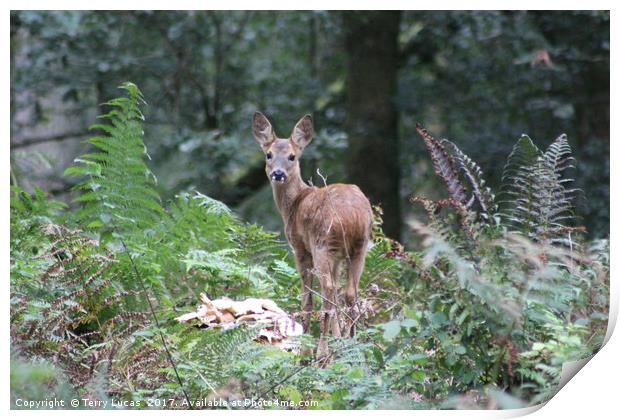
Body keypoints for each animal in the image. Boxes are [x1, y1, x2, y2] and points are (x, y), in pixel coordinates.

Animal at [252, 111, 372, 358]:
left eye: (292, 156)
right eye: (268, 154)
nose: (277, 174)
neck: (294, 205)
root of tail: (353, 217)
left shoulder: (299, 247)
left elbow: (307, 297)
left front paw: (304, 347)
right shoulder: (337, 257)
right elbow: (336, 295)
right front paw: (339, 338)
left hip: (322, 243)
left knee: (326, 291)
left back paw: (321, 352)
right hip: (359, 246)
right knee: (349, 292)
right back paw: (352, 346)